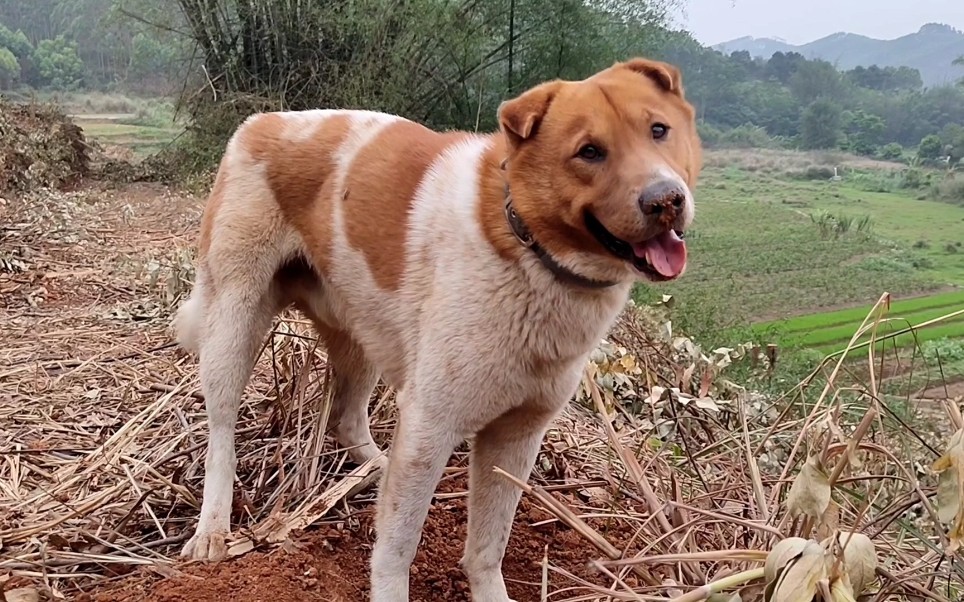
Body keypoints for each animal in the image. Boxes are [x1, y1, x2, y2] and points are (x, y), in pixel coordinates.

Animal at [173, 57, 700, 600]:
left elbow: (488, 547)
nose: (666, 200)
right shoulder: (430, 424)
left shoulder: (518, 434)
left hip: (361, 335)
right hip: (233, 322)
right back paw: (212, 529)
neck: (527, 246)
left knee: (347, 420)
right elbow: (397, 547)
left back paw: (376, 469)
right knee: (222, 429)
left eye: (659, 130)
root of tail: (262, 121)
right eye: (589, 152)